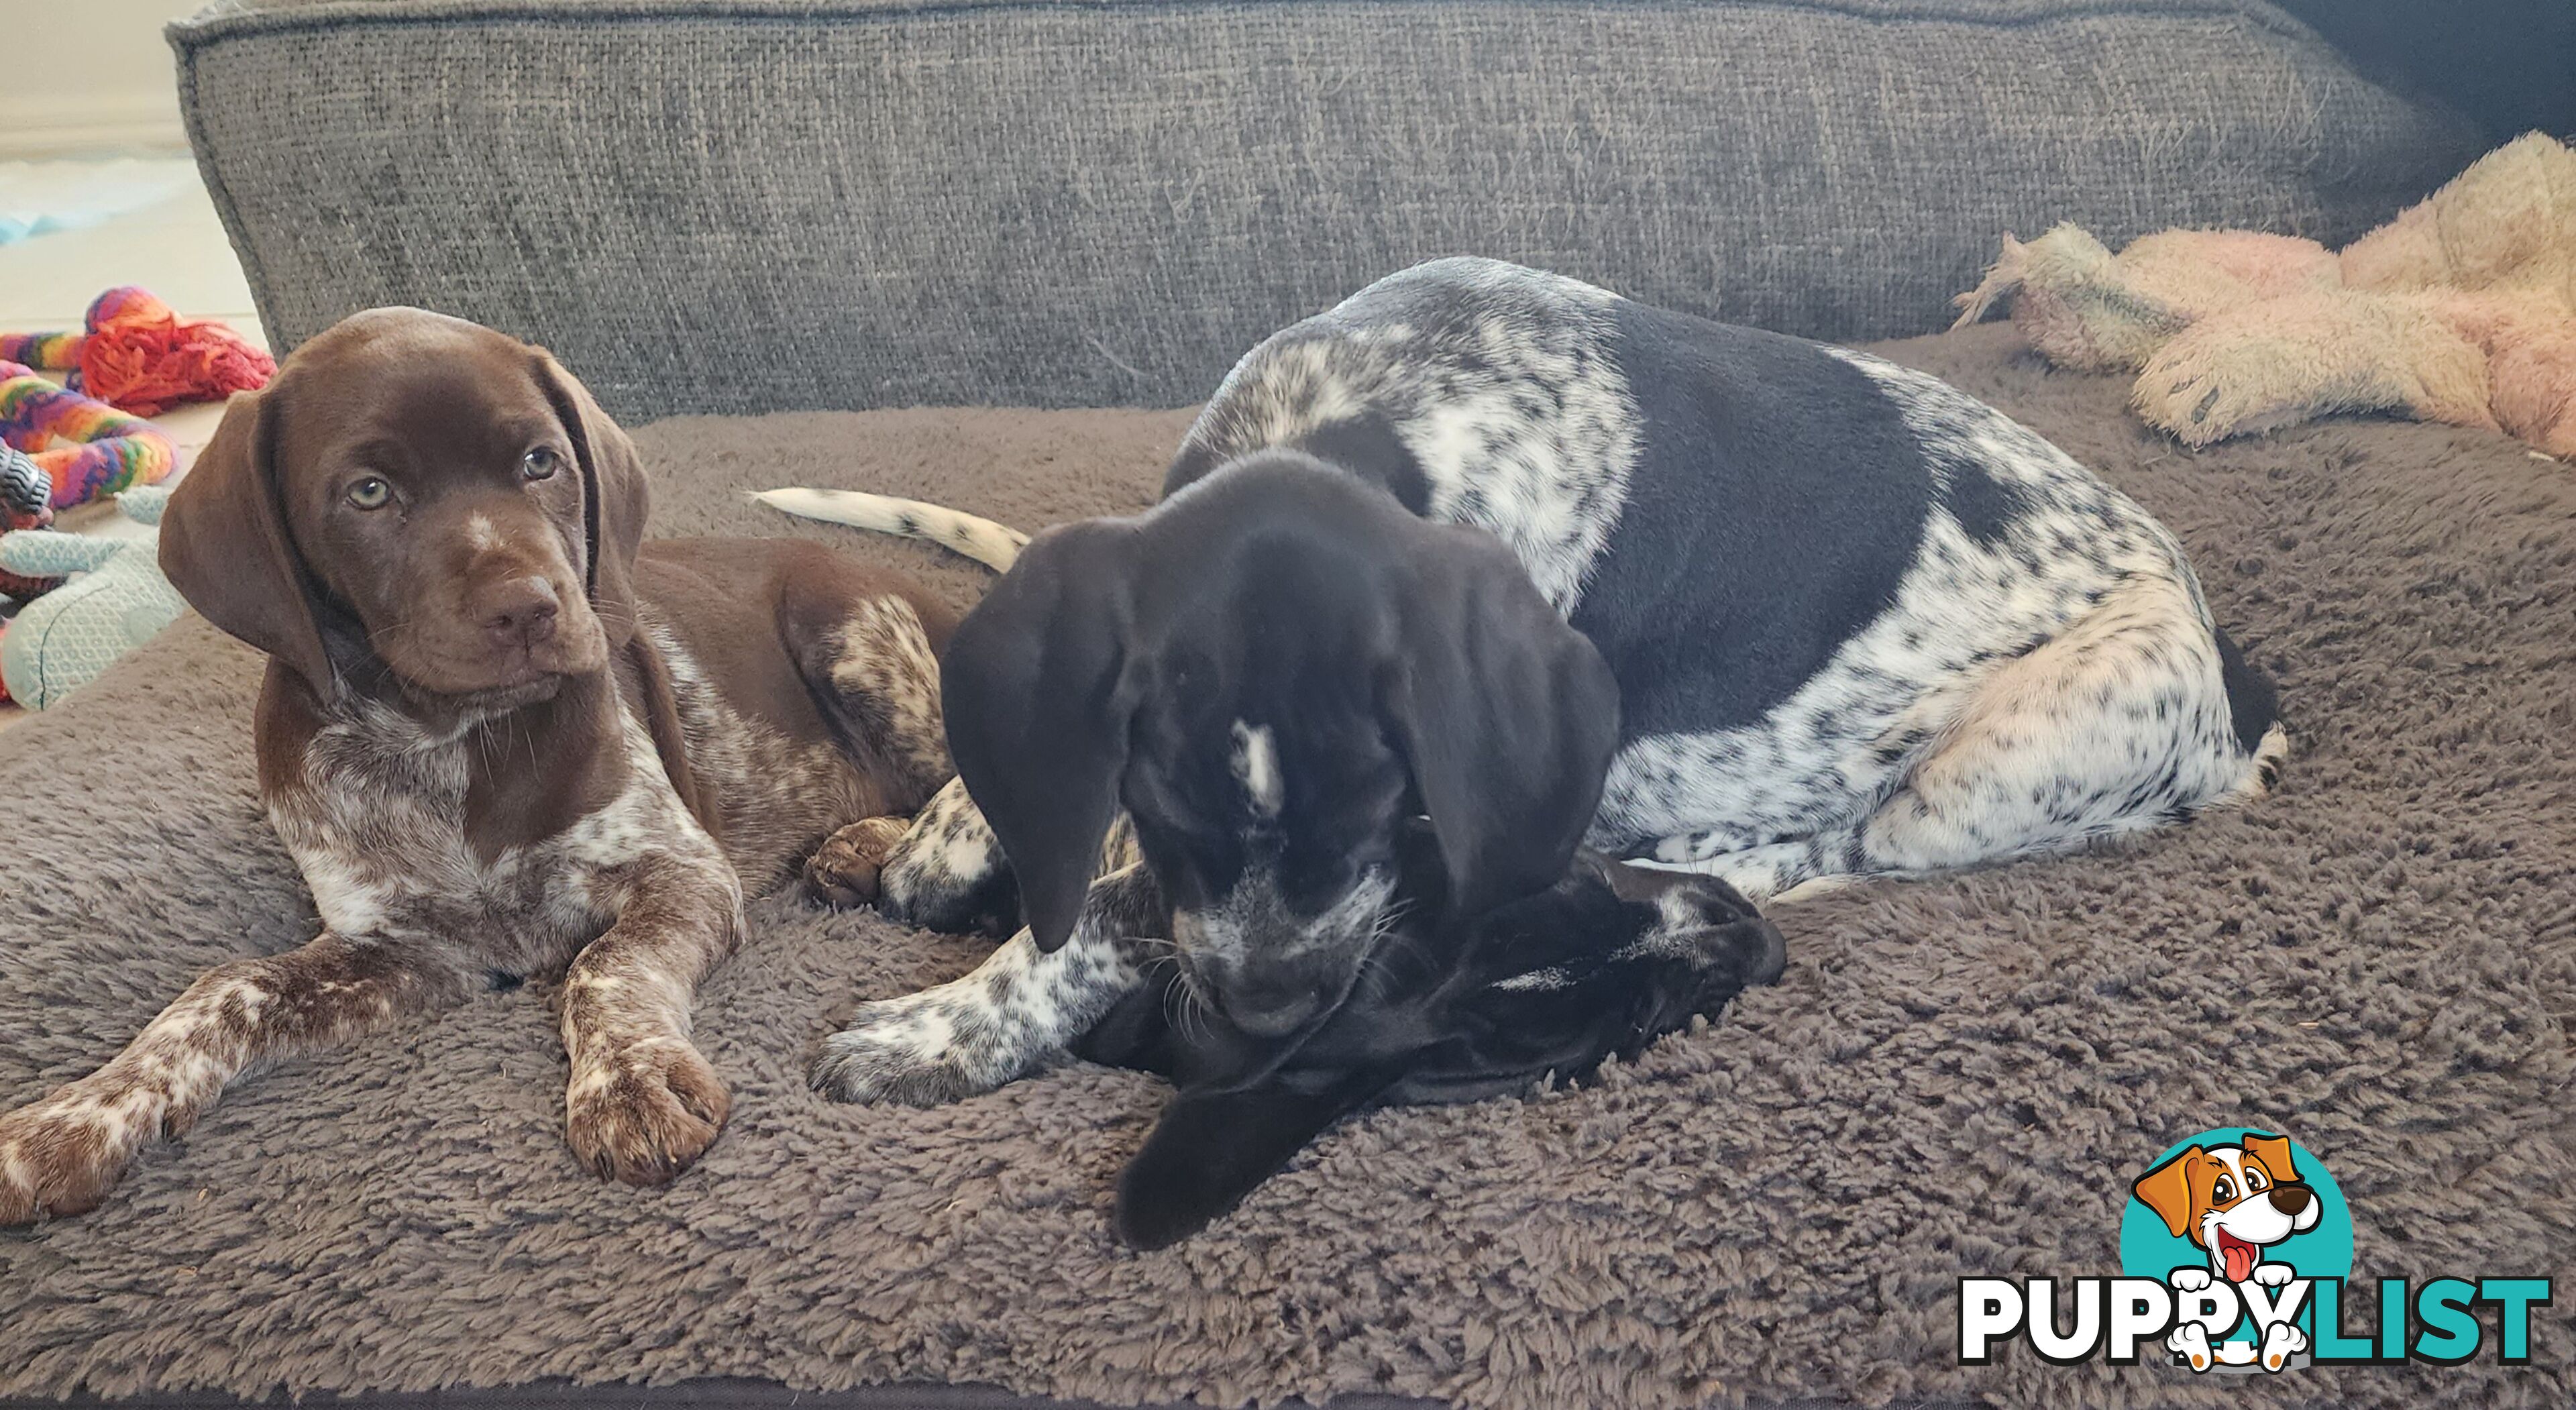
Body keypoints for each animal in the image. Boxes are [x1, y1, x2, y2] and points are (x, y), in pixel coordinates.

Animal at [2, 311, 948, 1227]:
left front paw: (629, 1081)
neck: (445, 745)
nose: (529, 607)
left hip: (855, 641)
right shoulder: (408, 951)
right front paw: (77, 1114)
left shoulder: (682, 873)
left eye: (541, 462)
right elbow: (225, 986)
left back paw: (879, 845)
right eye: (369, 491)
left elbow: (601, 965)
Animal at [757, 259, 2277, 1108]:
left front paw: (958, 1024)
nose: (1265, 1018)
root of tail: (2236, 684)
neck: (1354, 420)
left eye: (1387, 811)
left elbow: (1114, 914)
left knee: (1851, 842)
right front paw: (947, 838)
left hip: (1977, 774)